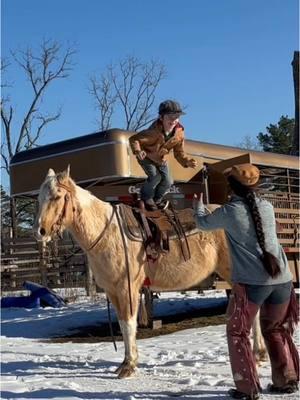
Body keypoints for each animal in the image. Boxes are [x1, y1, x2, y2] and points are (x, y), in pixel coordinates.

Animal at [34, 168, 266, 378]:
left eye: (56, 196)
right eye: (39, 198)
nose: (40, 232)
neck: (108, 233)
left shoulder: (127, 288)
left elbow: (129, 324)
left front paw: (129, 367)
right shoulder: (112, 291)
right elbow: (122, 324)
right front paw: (125, 362)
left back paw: (257, 353)